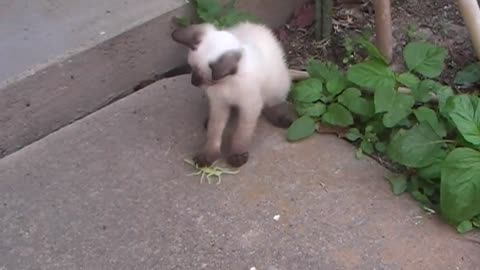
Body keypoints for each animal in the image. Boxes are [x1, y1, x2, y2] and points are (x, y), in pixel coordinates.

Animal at [172, 22, 292, 168]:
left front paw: (237, 155)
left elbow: (242, 133)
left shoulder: (250, 107)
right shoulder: (219, 104)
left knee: (269, 104)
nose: (193, 82)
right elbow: (214, 131)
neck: (227, 83)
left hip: (275, 88)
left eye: (202, 77)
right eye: (191, 68)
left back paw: (280, 119)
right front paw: (207, 156)